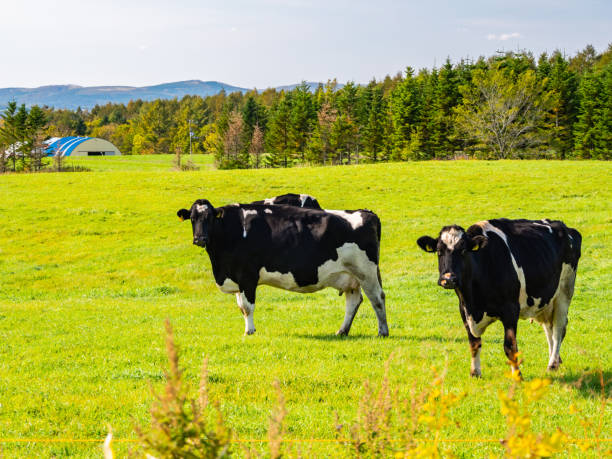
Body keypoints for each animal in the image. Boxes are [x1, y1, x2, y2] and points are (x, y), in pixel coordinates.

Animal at [177, 199, 388, 336]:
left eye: (210, 218)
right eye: (193, 218)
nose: (200, 238)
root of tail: (366, 212)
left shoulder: (247, 276)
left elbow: (247, 306)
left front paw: (250, 331)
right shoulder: (235, 276)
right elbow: (241, 307)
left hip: (366, 271)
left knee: (377, 299)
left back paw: (382, 331)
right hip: (351, 275)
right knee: (353, 301)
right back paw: (342, 331)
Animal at [418, 219, 580, 378]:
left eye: (463, 251)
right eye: (439, 251)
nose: (448, 279)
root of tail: (562, 225)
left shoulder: (510, 310)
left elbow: (510, 347)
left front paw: (517, 376)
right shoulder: (464, 310)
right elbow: (474, 343)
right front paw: (475, 373)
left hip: (564, 292)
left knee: (558, 329)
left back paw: (552, 364)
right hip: (546, 301)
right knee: (549, 329)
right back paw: (556, 360)